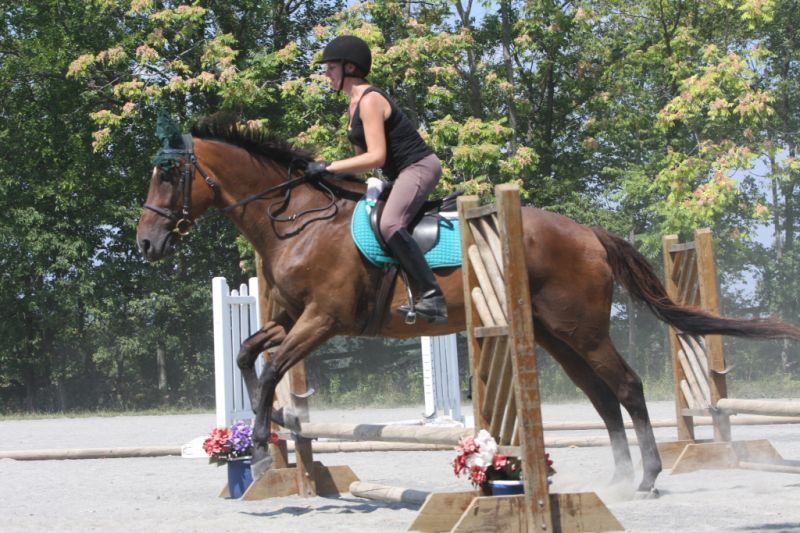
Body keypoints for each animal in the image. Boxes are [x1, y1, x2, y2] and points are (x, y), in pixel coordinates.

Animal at [136, 114, 800, 497]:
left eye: (168, 176)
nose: (146, 243)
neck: (297, 218)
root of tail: (587, 232)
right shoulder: (287, 318)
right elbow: (248, 356)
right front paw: (268, 428)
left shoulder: (322, 320)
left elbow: (272, 367)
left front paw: (256, 438)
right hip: (556, 335)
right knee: (601, 394)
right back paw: (615, 475)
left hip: (582, 329)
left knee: (629, 387)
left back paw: (647, 478)